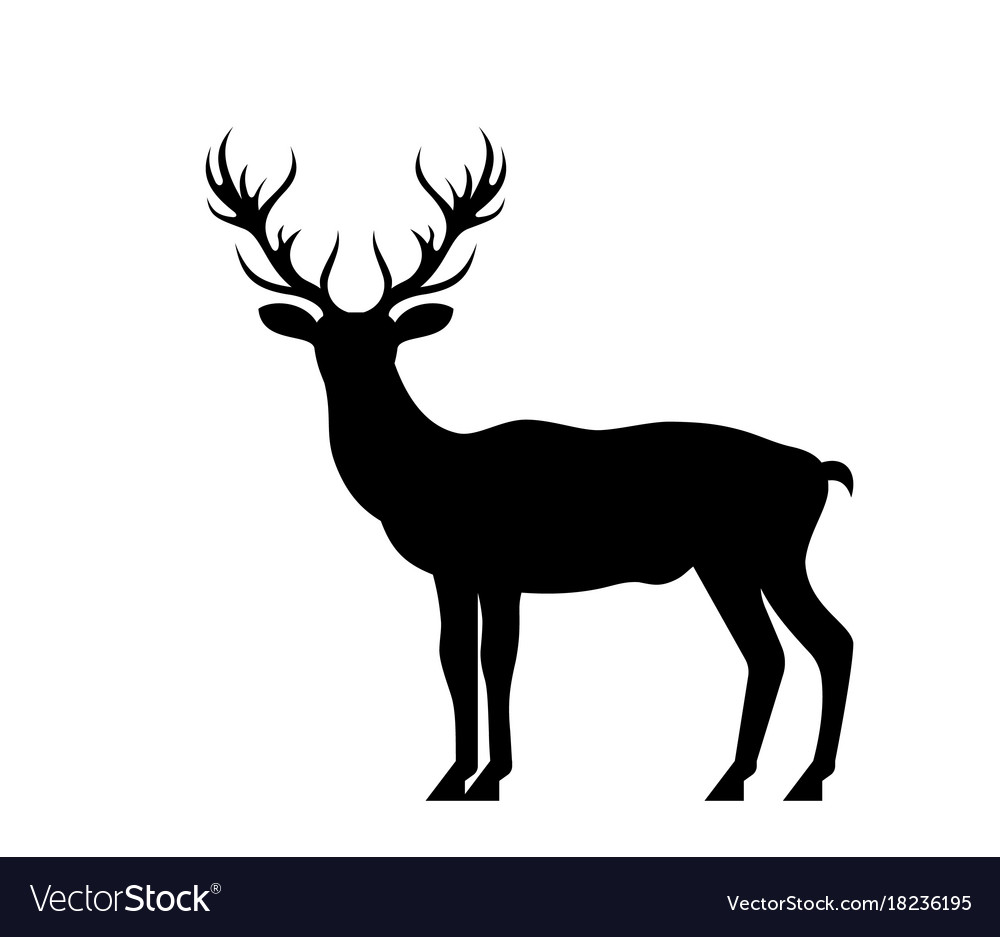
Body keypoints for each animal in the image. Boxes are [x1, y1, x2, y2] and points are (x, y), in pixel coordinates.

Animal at [206, 131, 854, 802]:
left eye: (388, 342)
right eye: (323, 342)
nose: (354, 382)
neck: (425, 475)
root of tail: (821, 471)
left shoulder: (496, 564)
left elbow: (494, 661)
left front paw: (486, 776)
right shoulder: (455, 570)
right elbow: (455, 659)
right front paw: (456, 777)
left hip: (752, 554)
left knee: (809, 645)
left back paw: (783, 778)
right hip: (745, 560)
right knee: (792, 648)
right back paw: (760, 779)